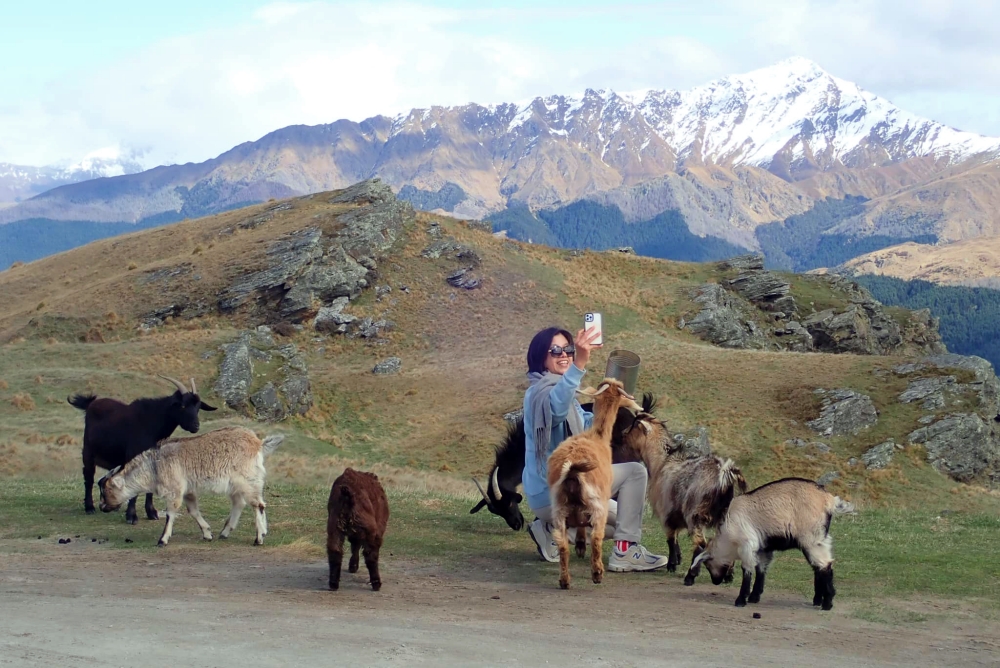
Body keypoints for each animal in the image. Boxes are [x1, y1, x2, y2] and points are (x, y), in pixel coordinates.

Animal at [72, 376, 217, 520]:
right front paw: (131, 516)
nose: (196, 426)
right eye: (182, 405)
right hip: (88, 452)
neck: (152, 424)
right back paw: (89, 507)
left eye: (198, 407)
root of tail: (90, 404)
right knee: (89, 478)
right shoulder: (133, 456)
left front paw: (151, 513)